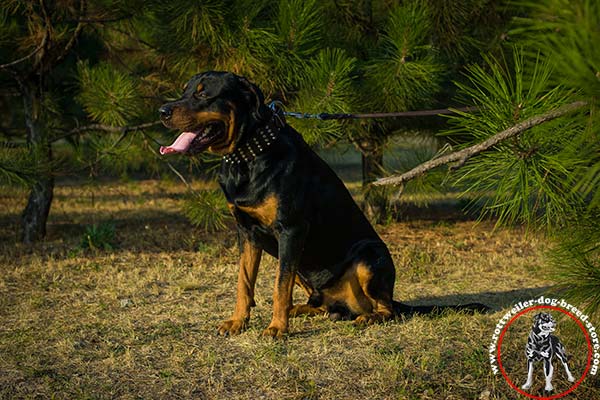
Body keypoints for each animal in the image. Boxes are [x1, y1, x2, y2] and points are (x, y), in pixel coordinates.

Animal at [158, 72, 482, 338]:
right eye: (185, 90)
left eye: (203, 94)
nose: (162, 111)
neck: (248, 155)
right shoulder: (246, 232)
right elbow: (244, 282)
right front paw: (238, 322)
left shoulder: (291, 230)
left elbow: (279, 286)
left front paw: (277, 328)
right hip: (306, 269)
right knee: (325, 305)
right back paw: (305, 310)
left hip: (369, 256)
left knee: (386, 309)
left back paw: (366, 317)